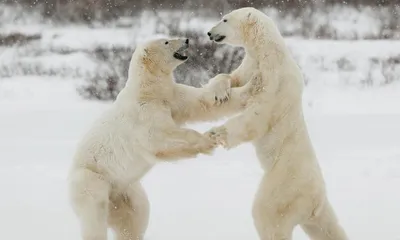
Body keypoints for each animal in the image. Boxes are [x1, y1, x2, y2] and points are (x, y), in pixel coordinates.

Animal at [67, 37, 258, 240]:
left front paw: (252, 84)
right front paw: (207, 140)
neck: (147, 90)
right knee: (95, 214)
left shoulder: (172, 97)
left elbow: (201, 103)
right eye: (166, 41)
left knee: (135, 215)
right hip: (92, 178)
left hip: (127, 189)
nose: (187, 39)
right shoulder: (143, 112)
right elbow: (158, 137)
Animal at [205, 7, 348, 240]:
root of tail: (315, 201)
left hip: (283, 186)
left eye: (225, 19)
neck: (267, 51)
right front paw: (219, 92)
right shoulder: (250, 64)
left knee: (268, 214)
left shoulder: (275, 78)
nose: (209, 33)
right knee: (328, 228)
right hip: (316, 208)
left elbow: (258, 115)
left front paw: (216, 133)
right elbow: (233, 77)